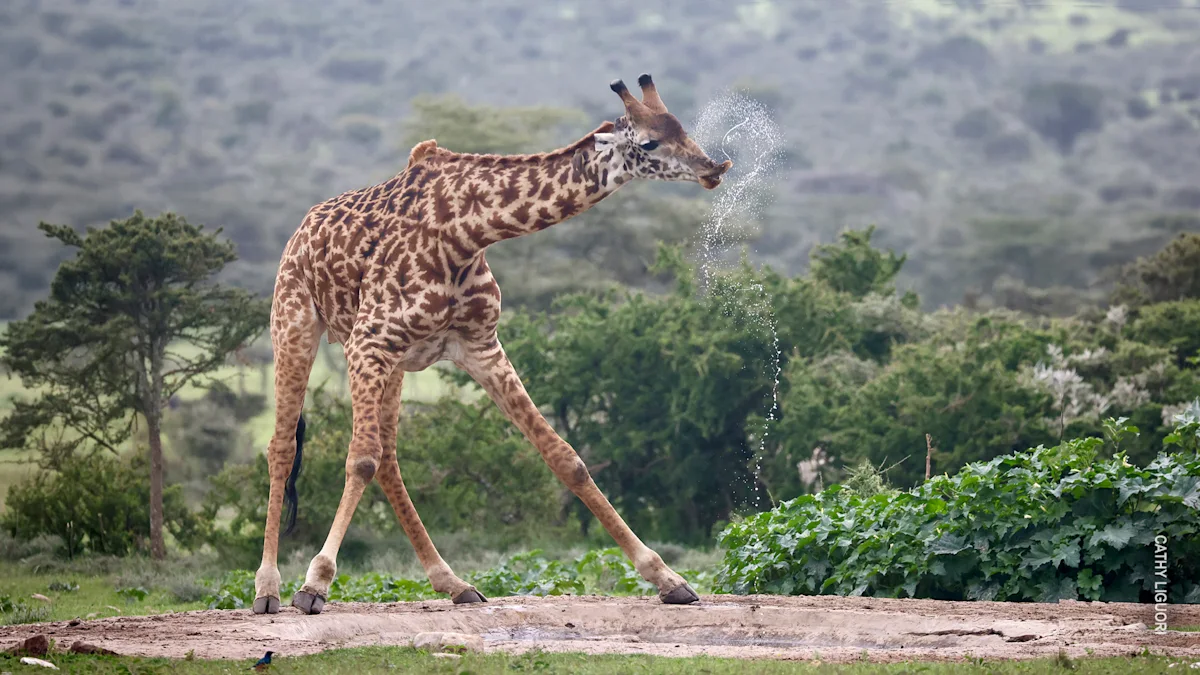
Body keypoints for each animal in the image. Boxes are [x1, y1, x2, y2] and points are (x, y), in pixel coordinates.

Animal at [253, 74, 733, 615]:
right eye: (650, 142)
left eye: (682, 126)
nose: (713, 169)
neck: (467, 232)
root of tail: (301, 229)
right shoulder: (368, 343)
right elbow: (359, 459)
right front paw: (314, 584)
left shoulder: (480, 345)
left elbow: (565, 457)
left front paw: (667, 577)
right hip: (295, 324)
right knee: (283, 448)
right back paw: (267, 588)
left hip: (395, 362)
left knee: (390, 458)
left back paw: (453, 582)